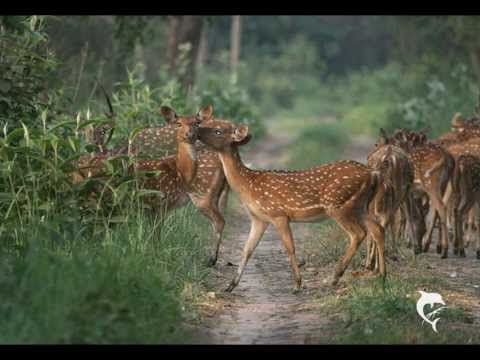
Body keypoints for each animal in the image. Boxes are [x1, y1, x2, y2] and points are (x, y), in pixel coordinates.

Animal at [195, 118, 386, 292]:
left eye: (218, 131)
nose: (197, 129)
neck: (248, 186)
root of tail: (373, 174)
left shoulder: (278, 214)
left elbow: (290, 248)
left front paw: (297, 284)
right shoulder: (259, 219)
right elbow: (247, 250)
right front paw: (230, 285)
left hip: (338, 205)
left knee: (358, 233)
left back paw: (335, 277)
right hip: (361, 205)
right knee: (377, 229)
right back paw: (381, 275)